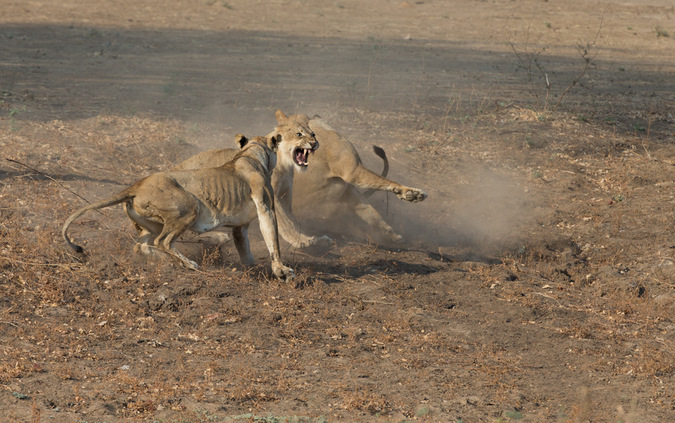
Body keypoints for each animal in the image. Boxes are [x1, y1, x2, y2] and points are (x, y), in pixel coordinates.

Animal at [60, 129, 316, 282]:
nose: (313, 143)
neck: (251, 154)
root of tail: (136, 185)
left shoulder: (240, 226)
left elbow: (246, 249)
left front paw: (252, 268)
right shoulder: (265, 207)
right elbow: (273, 240)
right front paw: (281, 271)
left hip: (150, 223)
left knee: (142, 245)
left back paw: (165, 260)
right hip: (190, 206)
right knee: (163, 241)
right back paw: (189, 264)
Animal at [174, 111, 428, 247]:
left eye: (309, 134)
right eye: (298, 134)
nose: (314, 143)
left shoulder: (338, 192)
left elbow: (370, 212)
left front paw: (391, 234)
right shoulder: (351, 170)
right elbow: (384, 183)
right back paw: (217, 236)